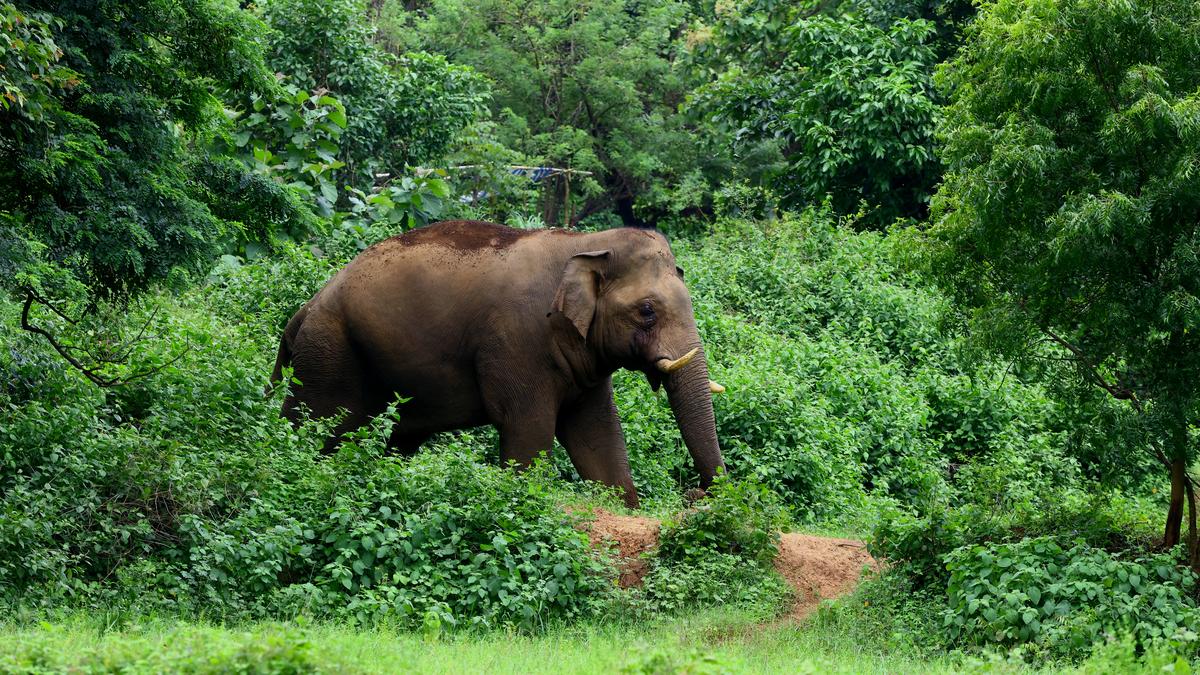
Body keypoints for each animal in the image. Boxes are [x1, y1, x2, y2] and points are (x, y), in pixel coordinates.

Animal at [269, 219, 725, 508]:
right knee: (316, 428)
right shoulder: (518, 341)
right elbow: (529, 429)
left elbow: (598, 433)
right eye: (647, 311)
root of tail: (303, 311)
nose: (695, 494)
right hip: (329, 355)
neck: (587, 241)